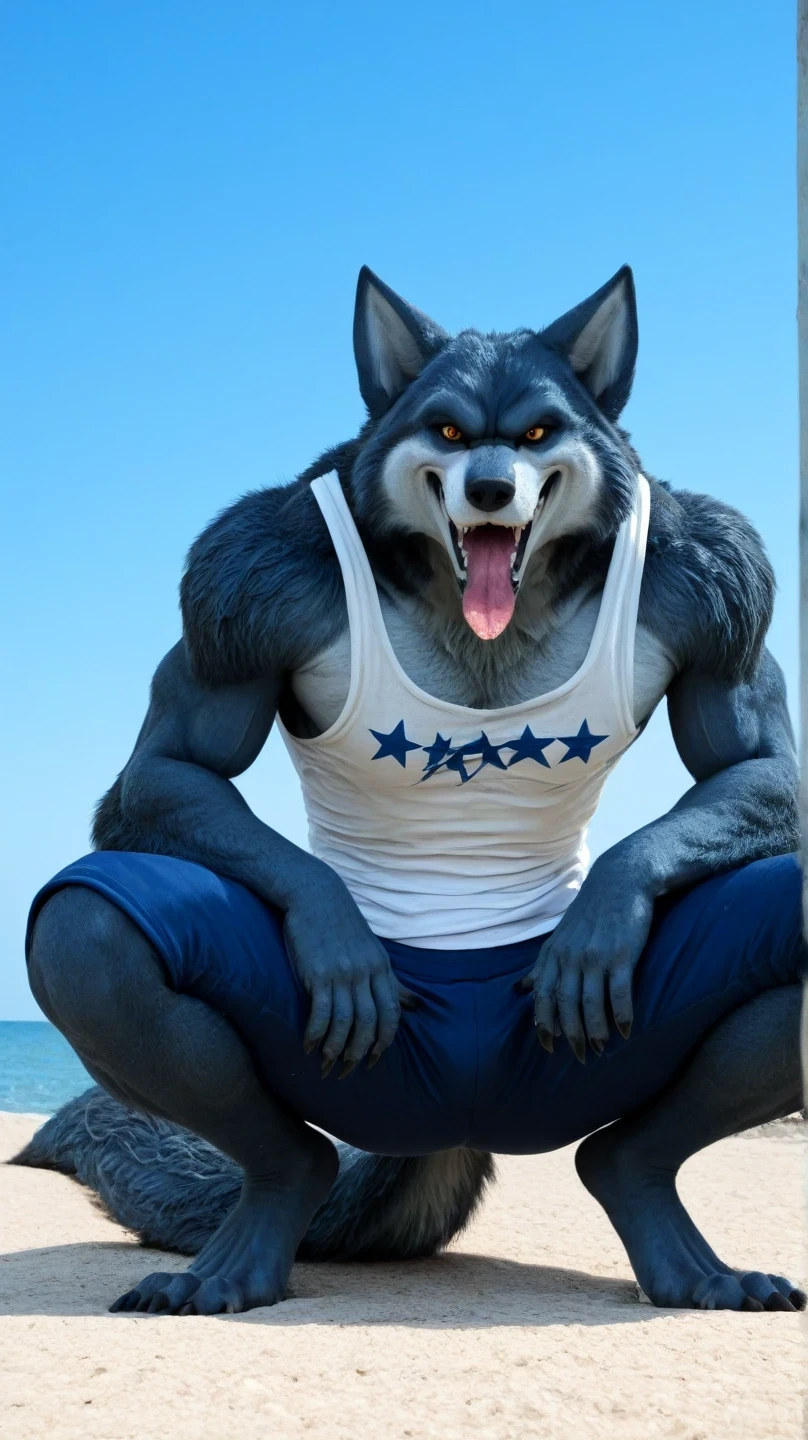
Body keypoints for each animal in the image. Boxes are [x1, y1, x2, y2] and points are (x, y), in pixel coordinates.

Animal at [17, 266, 805, 1317]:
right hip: (364, 1084)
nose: (490, 488)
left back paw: (669, 1234)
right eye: (447, 431)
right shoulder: (248, 573)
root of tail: (460, 1125)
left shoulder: (713, 580)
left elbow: (751, 766)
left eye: (540, 432)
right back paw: (253, 1239)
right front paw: (335, 931)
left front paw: (604, 912)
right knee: (97, 924)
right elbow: (173, 768)